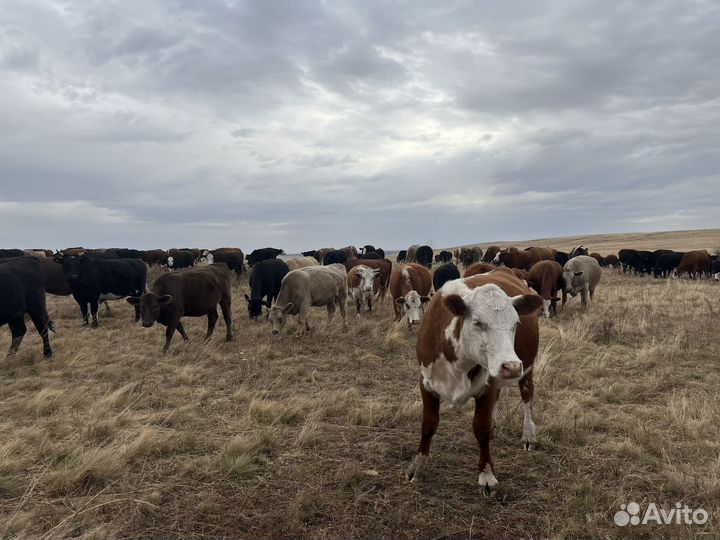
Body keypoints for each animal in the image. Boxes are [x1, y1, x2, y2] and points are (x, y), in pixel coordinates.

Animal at [408, 270, 544, 494]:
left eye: (516, 324)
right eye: (478, 323)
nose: (511, 366)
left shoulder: (488, 386)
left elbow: (481, 429)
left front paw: (487, 476)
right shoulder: (426, 383)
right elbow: (428, 425)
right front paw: (417, 467)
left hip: (527, 369)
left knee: (528, 397)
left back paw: (529, 435)